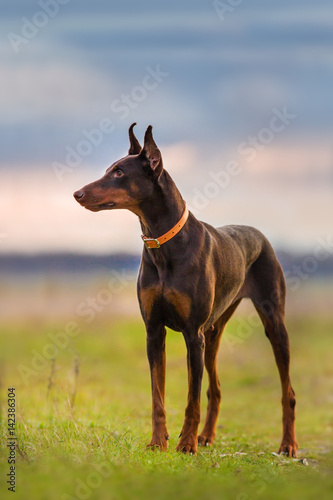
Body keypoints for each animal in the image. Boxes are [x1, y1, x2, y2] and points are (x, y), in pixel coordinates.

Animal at [74, 123, 296, 456]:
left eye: (119, 172)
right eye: (109, 170)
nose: (77, 193)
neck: (162, 242)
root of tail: (259, 234)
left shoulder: (193, 334)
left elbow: (191, 399)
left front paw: (186, 444)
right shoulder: (154, 331)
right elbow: (158, 395)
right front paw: (158, 441)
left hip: (271, 323)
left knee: (288, 391)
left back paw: (288, 444)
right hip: (213, 333)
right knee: (215, 389)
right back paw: (207, 436)